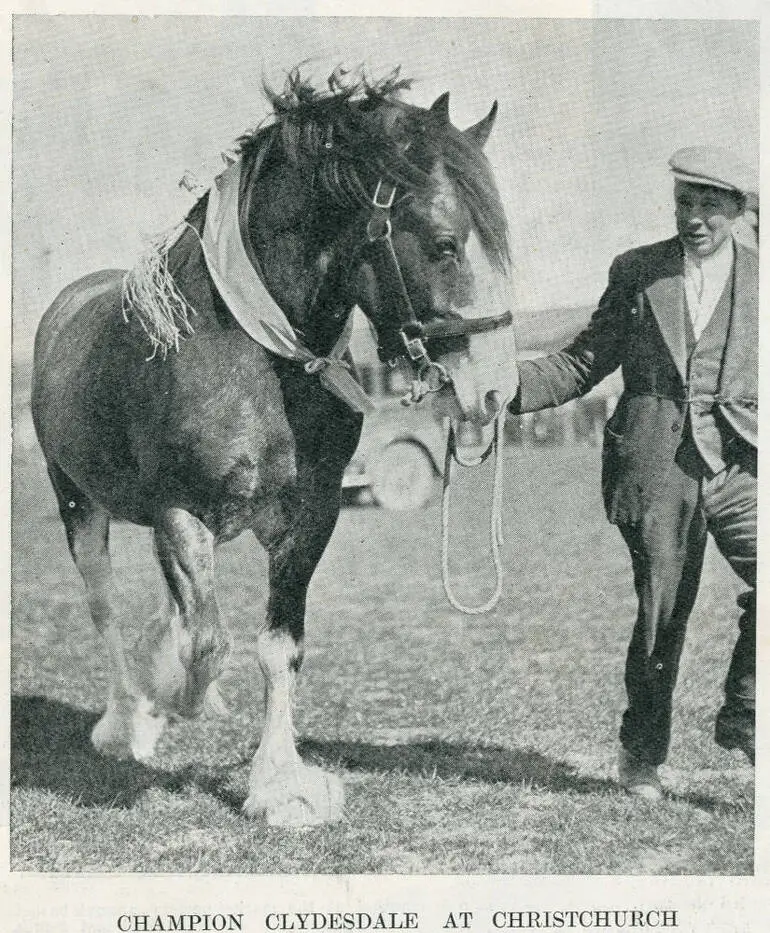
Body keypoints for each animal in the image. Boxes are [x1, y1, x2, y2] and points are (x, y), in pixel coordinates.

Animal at [33, 69, 520, 828]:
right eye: (444, 243)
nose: (498, 389)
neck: (256, 354)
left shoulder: (311, 516)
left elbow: (278, 647)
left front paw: (280, 782)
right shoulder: (181, 513)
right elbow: (209, 642)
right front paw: (173, 698)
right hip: (78, 503)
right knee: (105, 604)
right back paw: (127, 720)